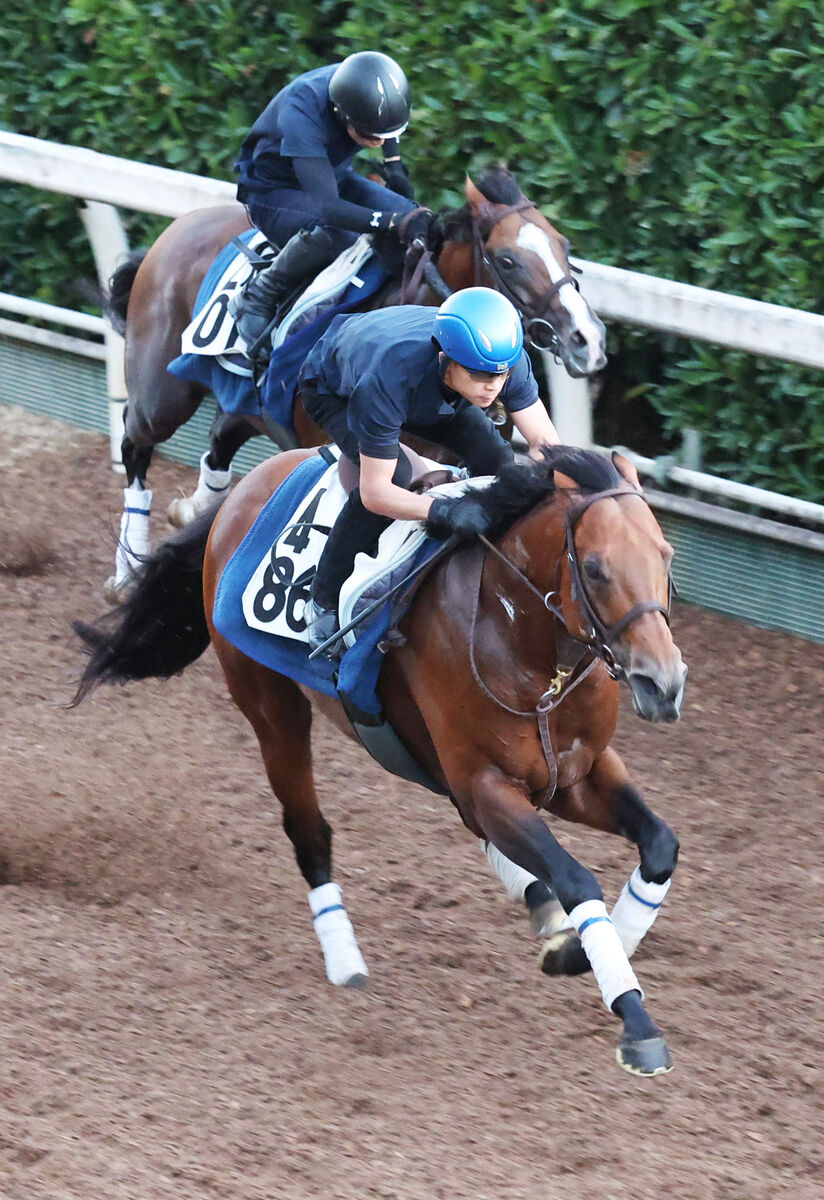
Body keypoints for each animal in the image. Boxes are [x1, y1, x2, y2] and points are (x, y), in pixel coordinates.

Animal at [72, 444, 690, 1080]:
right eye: (594, 568)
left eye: (665, 557)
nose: (663, 683)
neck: (529, 647)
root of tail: (251, 483)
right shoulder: (486, 781)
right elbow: (575, 877)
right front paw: (634, 1020)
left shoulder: (576, 774)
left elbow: (659, 846)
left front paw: (576, 951)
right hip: (271, 707)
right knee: (309, 829)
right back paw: (345, 957)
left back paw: (537, 904)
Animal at [101, 166, 606, 597]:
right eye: (508, 260)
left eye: (564, 247)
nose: (588, 339)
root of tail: (176, 229)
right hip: (164, 396)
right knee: (135, 443)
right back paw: (126, 570)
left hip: (249, 404)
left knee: (218, 440)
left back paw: (189, 512)